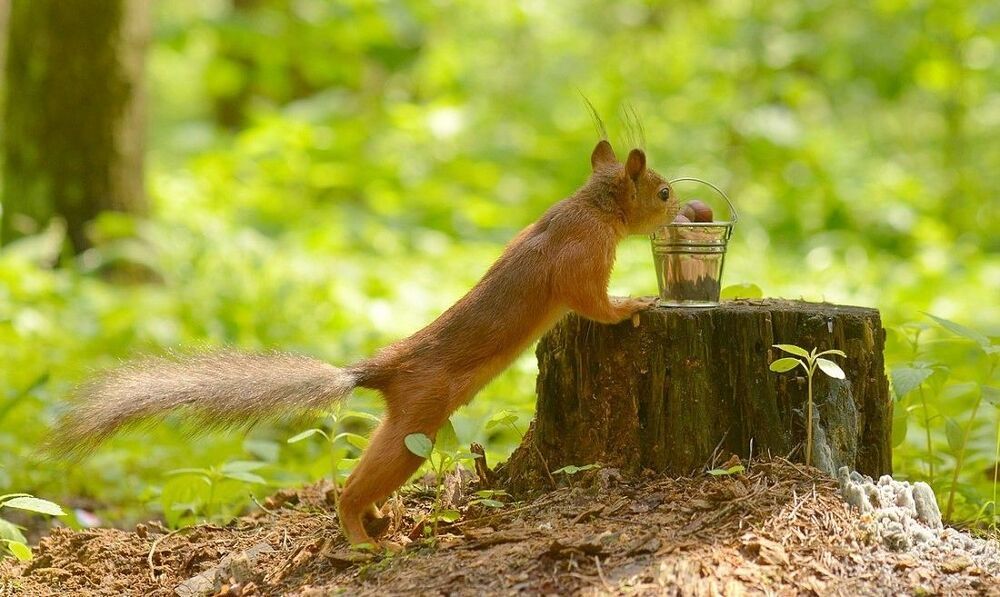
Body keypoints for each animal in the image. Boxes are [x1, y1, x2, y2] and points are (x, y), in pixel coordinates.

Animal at [49, 139, 680, 546]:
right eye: (664, 192)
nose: (687, 210)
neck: (590, 205)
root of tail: (382, 368)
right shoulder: (582, 258)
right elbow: (593, 303)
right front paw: (634, 305)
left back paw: (378, 518)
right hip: (419, 420)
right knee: (353, 488)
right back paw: (362, 535)